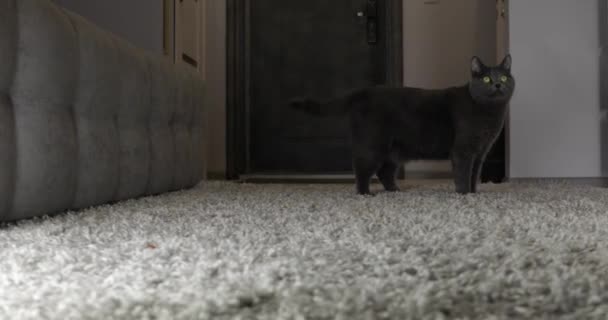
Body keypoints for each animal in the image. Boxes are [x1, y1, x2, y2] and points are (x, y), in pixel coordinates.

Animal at [290, 55, 512, 195]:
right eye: (486, 79)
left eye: (503, 77)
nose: (497, 84)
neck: (489, 112)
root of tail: (364, 91)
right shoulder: (463, 150)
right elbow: (464, 173)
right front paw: (464, 194)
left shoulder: (480, 152)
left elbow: (474, 175)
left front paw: (474, 193)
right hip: (372, 143)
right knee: (362, 168)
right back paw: (364, 193)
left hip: (394, 149)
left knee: (384, 172)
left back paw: (395, 191)